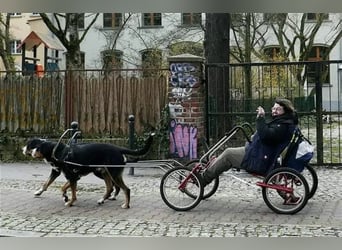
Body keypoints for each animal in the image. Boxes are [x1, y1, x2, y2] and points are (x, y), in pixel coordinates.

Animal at [22, 134, 154, 208]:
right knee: (110, 187)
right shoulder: (68, 175)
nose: (23, 149)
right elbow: (54, 186)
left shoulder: (73, 177)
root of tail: (118, 148)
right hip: (103, 173)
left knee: (125, 189)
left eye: (32, 146)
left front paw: (70, 202)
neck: (59, 152)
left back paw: (126, 205)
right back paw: (103, 199)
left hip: (113, 174)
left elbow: (72, 193)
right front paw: (63, 196)